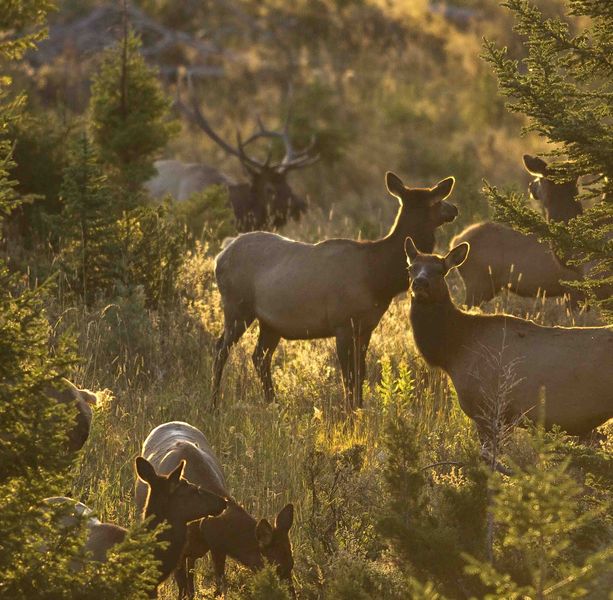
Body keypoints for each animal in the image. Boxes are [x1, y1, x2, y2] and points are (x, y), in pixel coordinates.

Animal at [134, 422, 296, 600]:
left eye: (292, 563)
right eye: (277, 567)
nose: (291, 595)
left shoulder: (216, 546)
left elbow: (217, 586)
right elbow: (184, 588)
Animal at [213, 171, 456, 410]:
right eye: (436, 199)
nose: (454, 209)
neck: (378, 278)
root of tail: (220, 256)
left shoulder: (366, 327)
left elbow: (360, 374)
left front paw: (359, 409)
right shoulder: (343, 323)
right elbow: (348, 376)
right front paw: (349, 412)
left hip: (270, 322)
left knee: (260, 357)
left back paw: (273, 404)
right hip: (237, 306)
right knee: (221, 348)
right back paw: (214, 403)